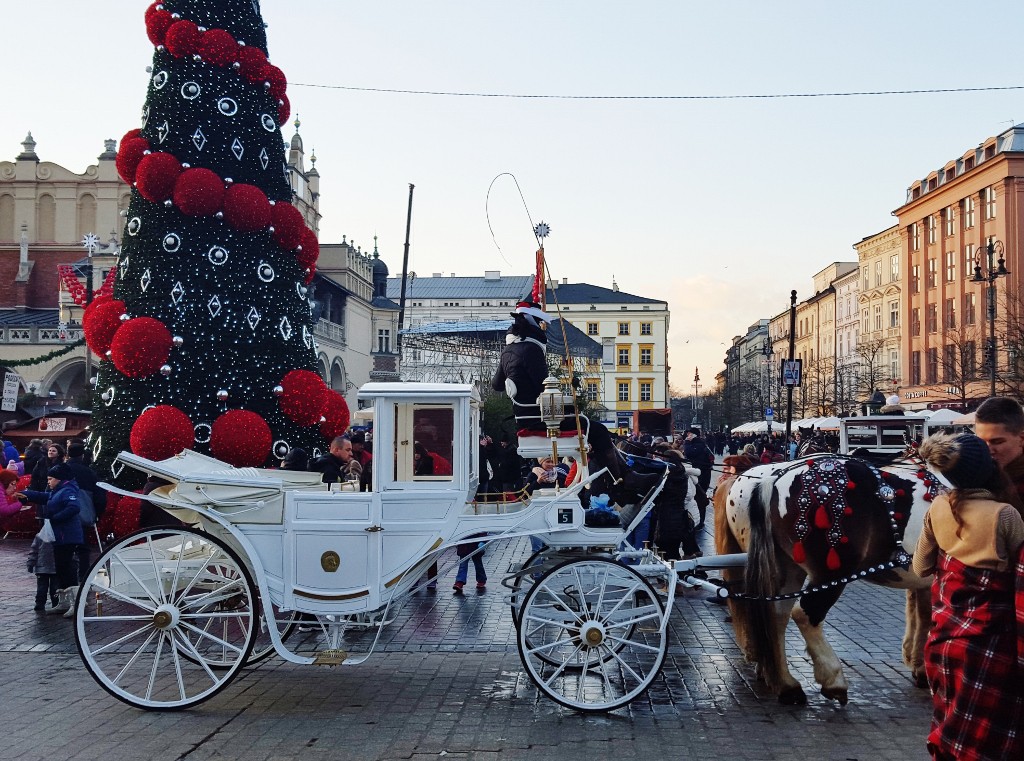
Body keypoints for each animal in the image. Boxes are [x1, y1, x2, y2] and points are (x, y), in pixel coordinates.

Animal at [716, 454, 937, 704]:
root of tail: (771, 481)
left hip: (786, 567)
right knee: (805, 614)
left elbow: (922, 616)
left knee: (776, 614)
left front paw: (919, 666)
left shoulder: (923, 581)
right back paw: (832, 679)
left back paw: (785, 683)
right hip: (832, 571)